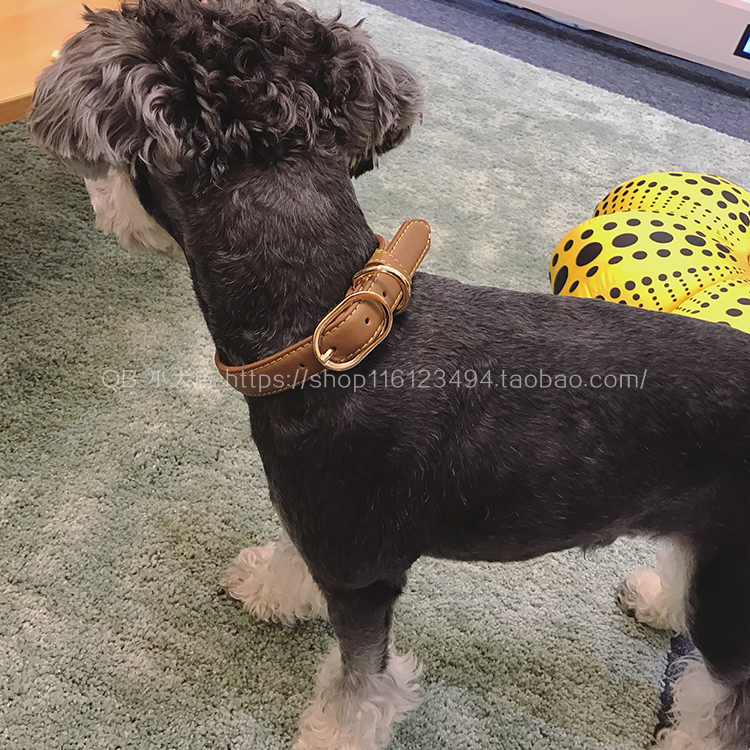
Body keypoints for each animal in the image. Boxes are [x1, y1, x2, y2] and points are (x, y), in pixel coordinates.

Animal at [28, 1, 750, 748]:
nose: (95, 197)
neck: (330, 332)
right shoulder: (320, 528)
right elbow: (291, 556)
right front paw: (271, 589)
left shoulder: (361, 573)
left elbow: (361, 684)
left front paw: (332, 732)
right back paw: (659, 601)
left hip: (731, 583)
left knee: (723, 696)